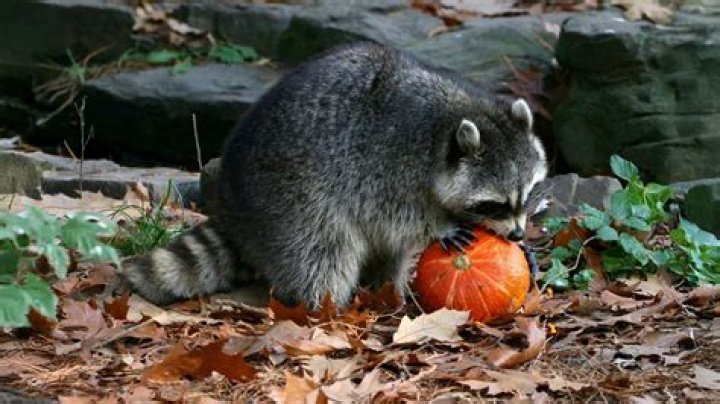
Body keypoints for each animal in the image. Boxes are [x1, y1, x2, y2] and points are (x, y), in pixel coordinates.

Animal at [118, 42, 547, 309]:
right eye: (494, 203)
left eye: (526, 195)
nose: (517, 234)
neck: (454, 117)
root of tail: (232, 203)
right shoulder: (386, 161)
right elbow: (395, 216)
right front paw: (438, 226)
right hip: (287, 196)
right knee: (323, 250)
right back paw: (324, 307)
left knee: (382, 253)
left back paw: (386, 289)